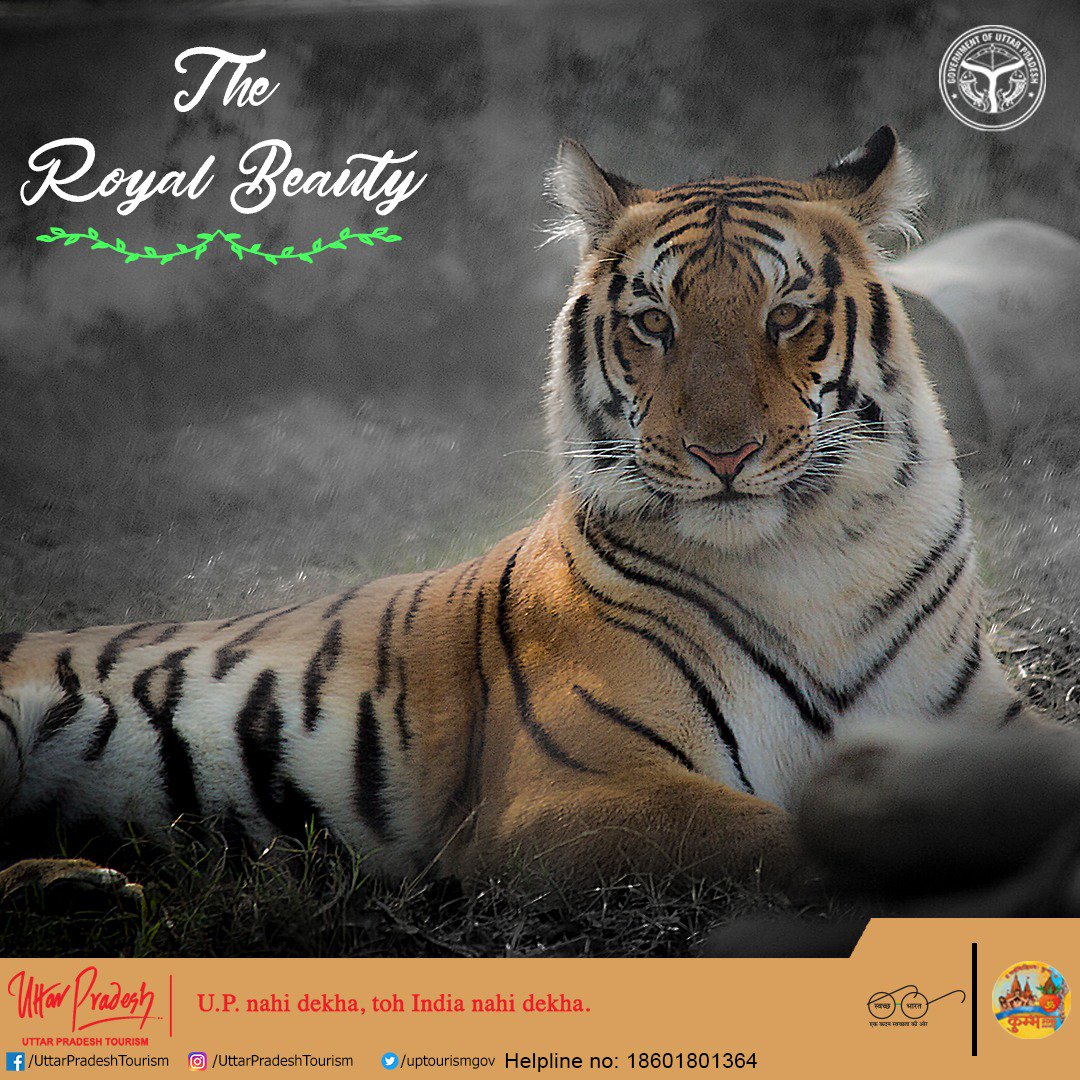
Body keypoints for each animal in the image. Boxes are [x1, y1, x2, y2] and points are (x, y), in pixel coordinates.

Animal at [0, 126, 1032, 899]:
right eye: (653, 322)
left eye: (786, 316)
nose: (724, 455)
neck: (810, 559)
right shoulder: (567, 790)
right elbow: (788, 838)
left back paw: (79, 886)